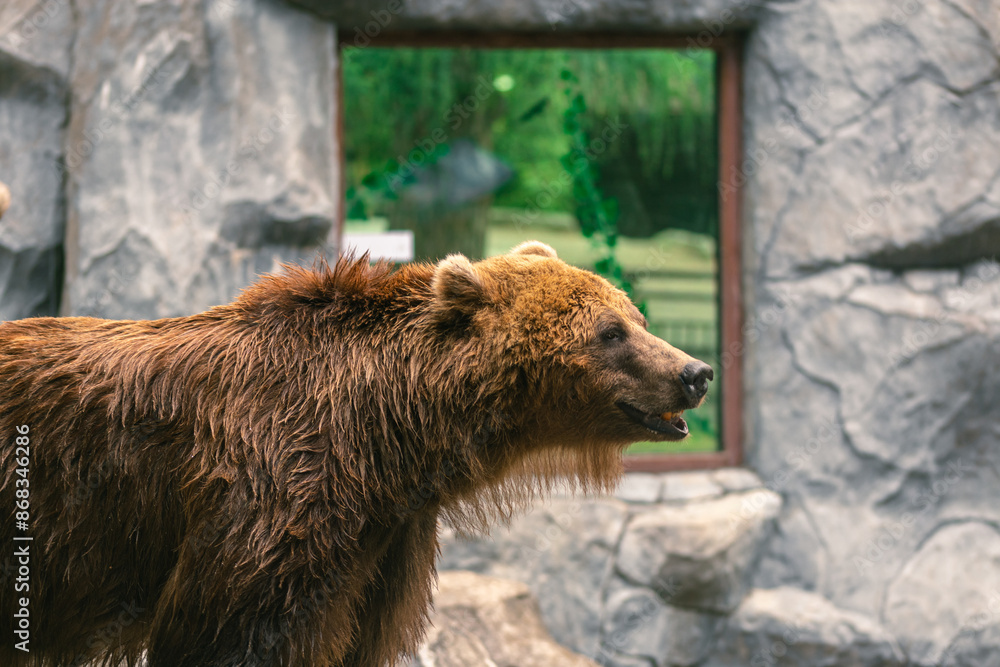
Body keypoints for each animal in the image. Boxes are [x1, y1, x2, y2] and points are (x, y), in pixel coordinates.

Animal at [0, 240, 712, 667]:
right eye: (610, 332)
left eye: (635, 316)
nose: (696, 372)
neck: (388, 434)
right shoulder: (272, 500)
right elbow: (233, 634)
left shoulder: (380, 544)